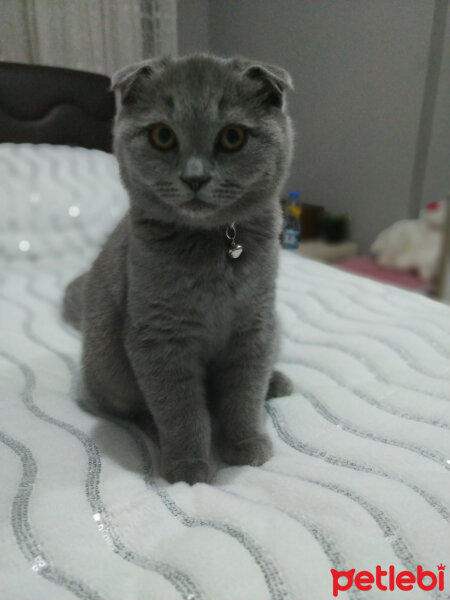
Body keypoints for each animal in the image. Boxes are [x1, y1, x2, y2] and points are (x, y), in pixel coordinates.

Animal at [64, 54, 296, 486]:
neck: (214, 248)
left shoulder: (255, 324)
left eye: (233, 137)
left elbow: (245, 391)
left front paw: (245, 444)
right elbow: (180, 407)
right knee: (131, 407)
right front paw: (189, 467)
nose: (195, 177)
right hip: (106, 368)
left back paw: (277, 381)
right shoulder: (159, 337)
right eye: (162, 136)